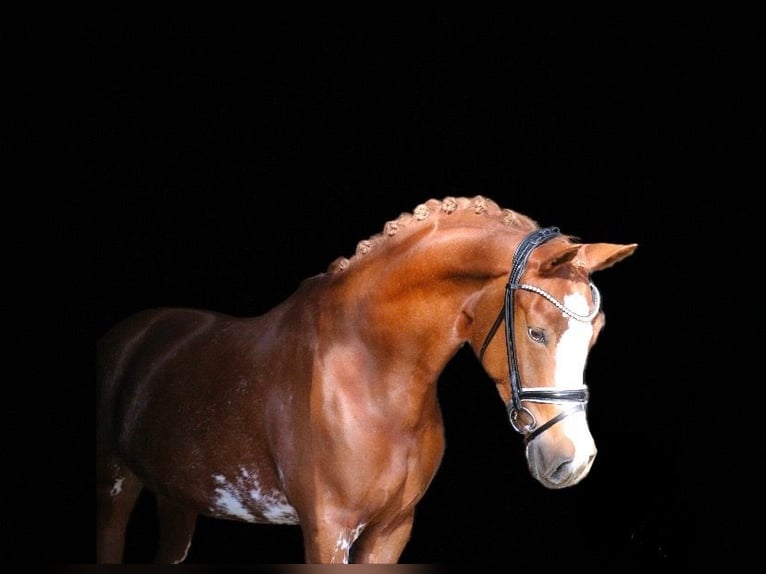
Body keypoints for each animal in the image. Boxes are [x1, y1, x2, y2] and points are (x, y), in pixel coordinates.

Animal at [96, 196, 640, 564]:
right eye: (536, 331)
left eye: (597, 332)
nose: (573, 459)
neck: (370, 373)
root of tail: (128, 335)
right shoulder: (327, 530)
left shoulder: (391, 530)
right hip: (115, 489)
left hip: (177, 499)